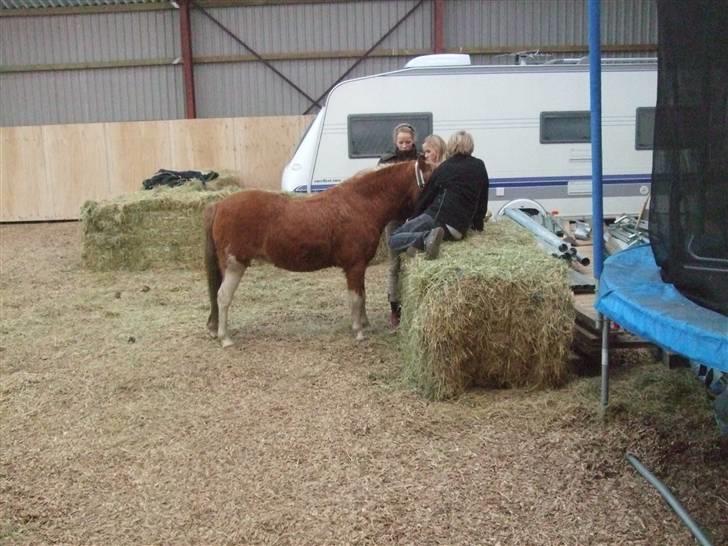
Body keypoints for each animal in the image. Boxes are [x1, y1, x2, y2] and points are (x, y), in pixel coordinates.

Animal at [203, 156, 432, 347]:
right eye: (429, 180)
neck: (359, 205)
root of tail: (219, 205)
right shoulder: (354, 266)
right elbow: (356, 298)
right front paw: (358, 331)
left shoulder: (359, 267)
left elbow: (362, 295)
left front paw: (365, 323)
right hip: (235, 264)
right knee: (222, 297)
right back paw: (225, 338)